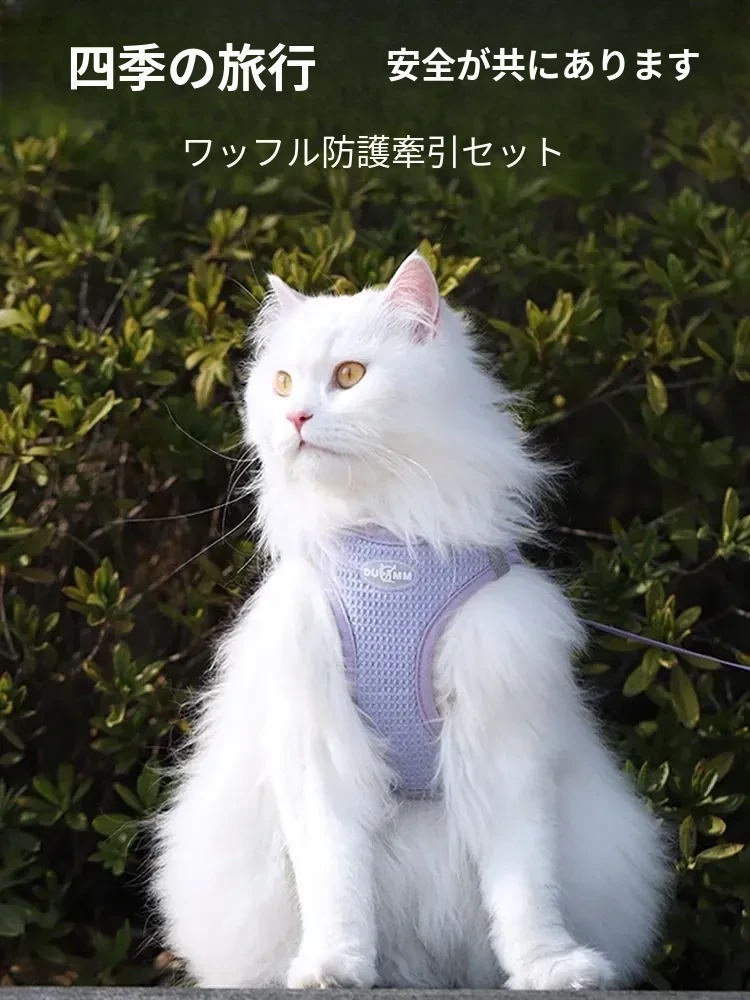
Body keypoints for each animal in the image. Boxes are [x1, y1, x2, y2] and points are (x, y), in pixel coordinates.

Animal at [152, 250, 671, 990]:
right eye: (280, 383)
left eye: (350, 375)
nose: (297, 416)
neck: (389, 546)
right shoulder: (320, 740)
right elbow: (335, 879)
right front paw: (333, 968)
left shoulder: (499, 735)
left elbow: (525, 884)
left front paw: (551, 967)